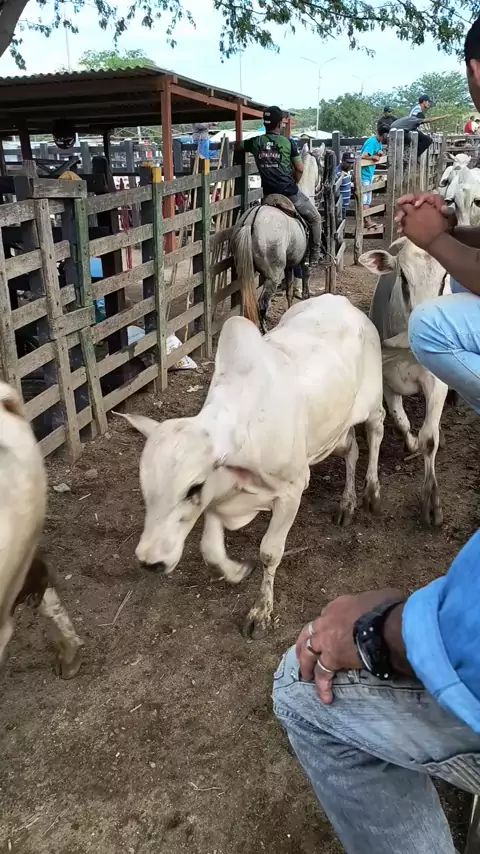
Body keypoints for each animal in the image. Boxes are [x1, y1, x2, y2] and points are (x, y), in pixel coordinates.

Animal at [120, 295, 385, 639]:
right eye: (145, 488)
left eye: (193, 488)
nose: (149, 561)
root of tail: (343, 302)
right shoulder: (222, 493)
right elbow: (210, 549)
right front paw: (236, 571)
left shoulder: (291, 491)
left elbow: (269, 552)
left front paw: (261, 613)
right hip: (334, 432)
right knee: (351, 448)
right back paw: (346, 503)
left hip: (372, 404)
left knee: (376, 432)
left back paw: (371, 491)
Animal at [231, 144, 326, 331]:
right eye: (322, 165)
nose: (321, 187)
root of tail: (251, 221)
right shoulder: (302, 262)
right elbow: (304, 285)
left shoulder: (289, 265)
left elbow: (289, 291)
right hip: (273, 274)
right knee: (262, 304)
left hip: (246, 272)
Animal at [360, 238, 449, 527]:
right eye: (403, 278)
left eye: (444, 278)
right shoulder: (386, 380)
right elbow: (400, 422)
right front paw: (410, 444)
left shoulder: (436, 381)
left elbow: (429, 439)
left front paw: (432, 504)